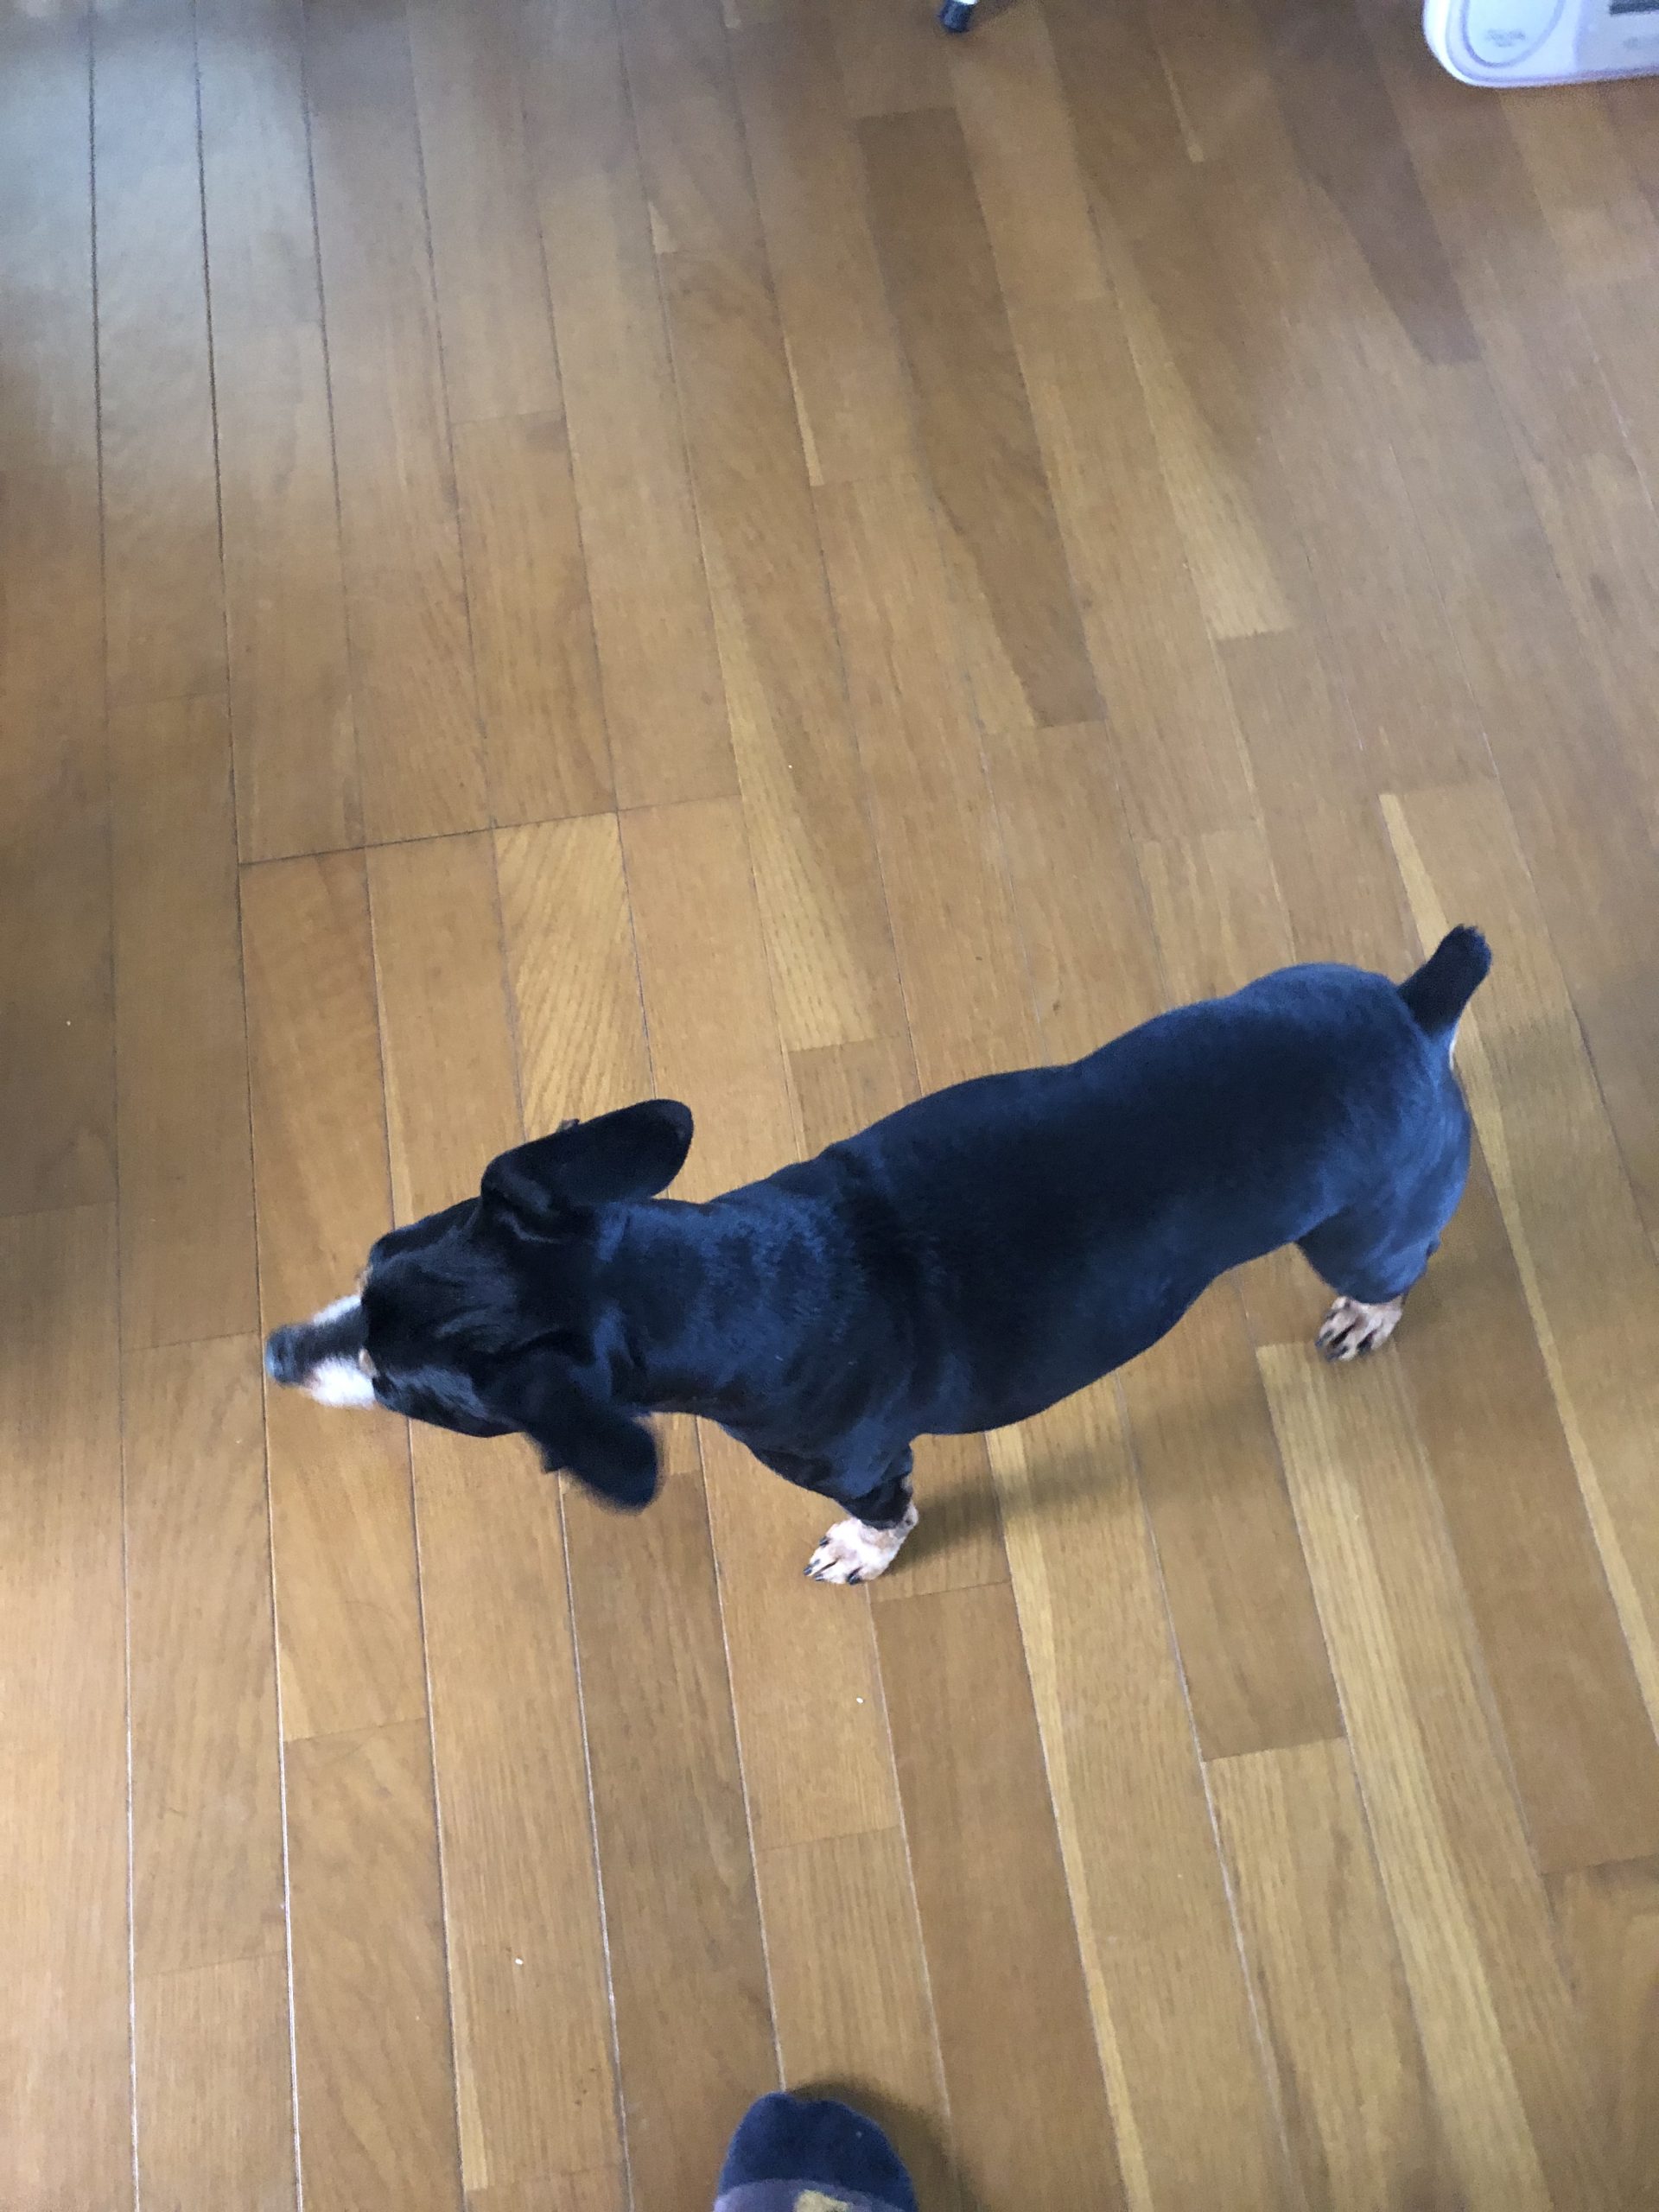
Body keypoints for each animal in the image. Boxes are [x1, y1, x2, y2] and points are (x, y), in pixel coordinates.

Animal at [265, 927, 1490, 1583]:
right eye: (372, 1255)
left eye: (405, 1392)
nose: (274, 1350)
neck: (713, 1275)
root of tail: (1416, 1009)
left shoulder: (857, 1460)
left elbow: (886, 1516)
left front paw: (864, 1552)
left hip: (1362, 1230)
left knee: (1401, 1266)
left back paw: (1369, 1315)